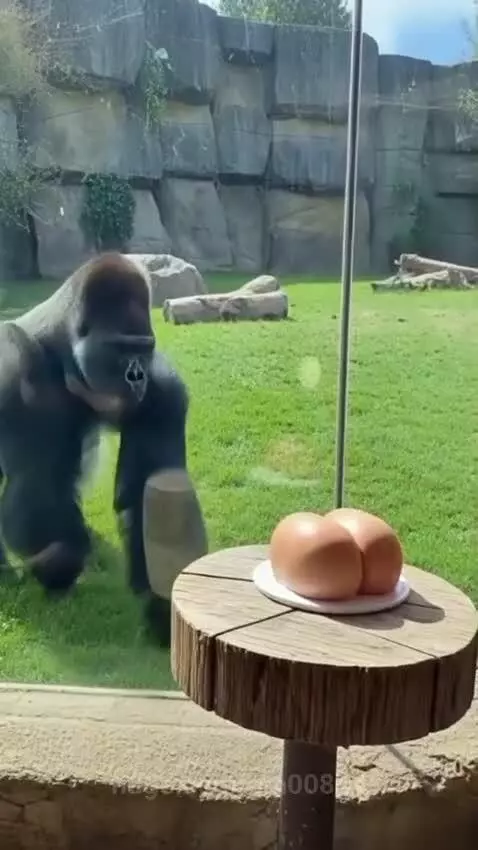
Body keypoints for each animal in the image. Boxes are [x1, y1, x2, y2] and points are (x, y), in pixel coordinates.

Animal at [0, 252, 208, 645]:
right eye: (120, 349)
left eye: (143, 348)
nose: (136, 376)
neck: (64, 350)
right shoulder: (21, 373)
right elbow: (36, 487)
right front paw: (61, 559)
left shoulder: (163, 389)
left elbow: (149, 493)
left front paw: (161, 608)